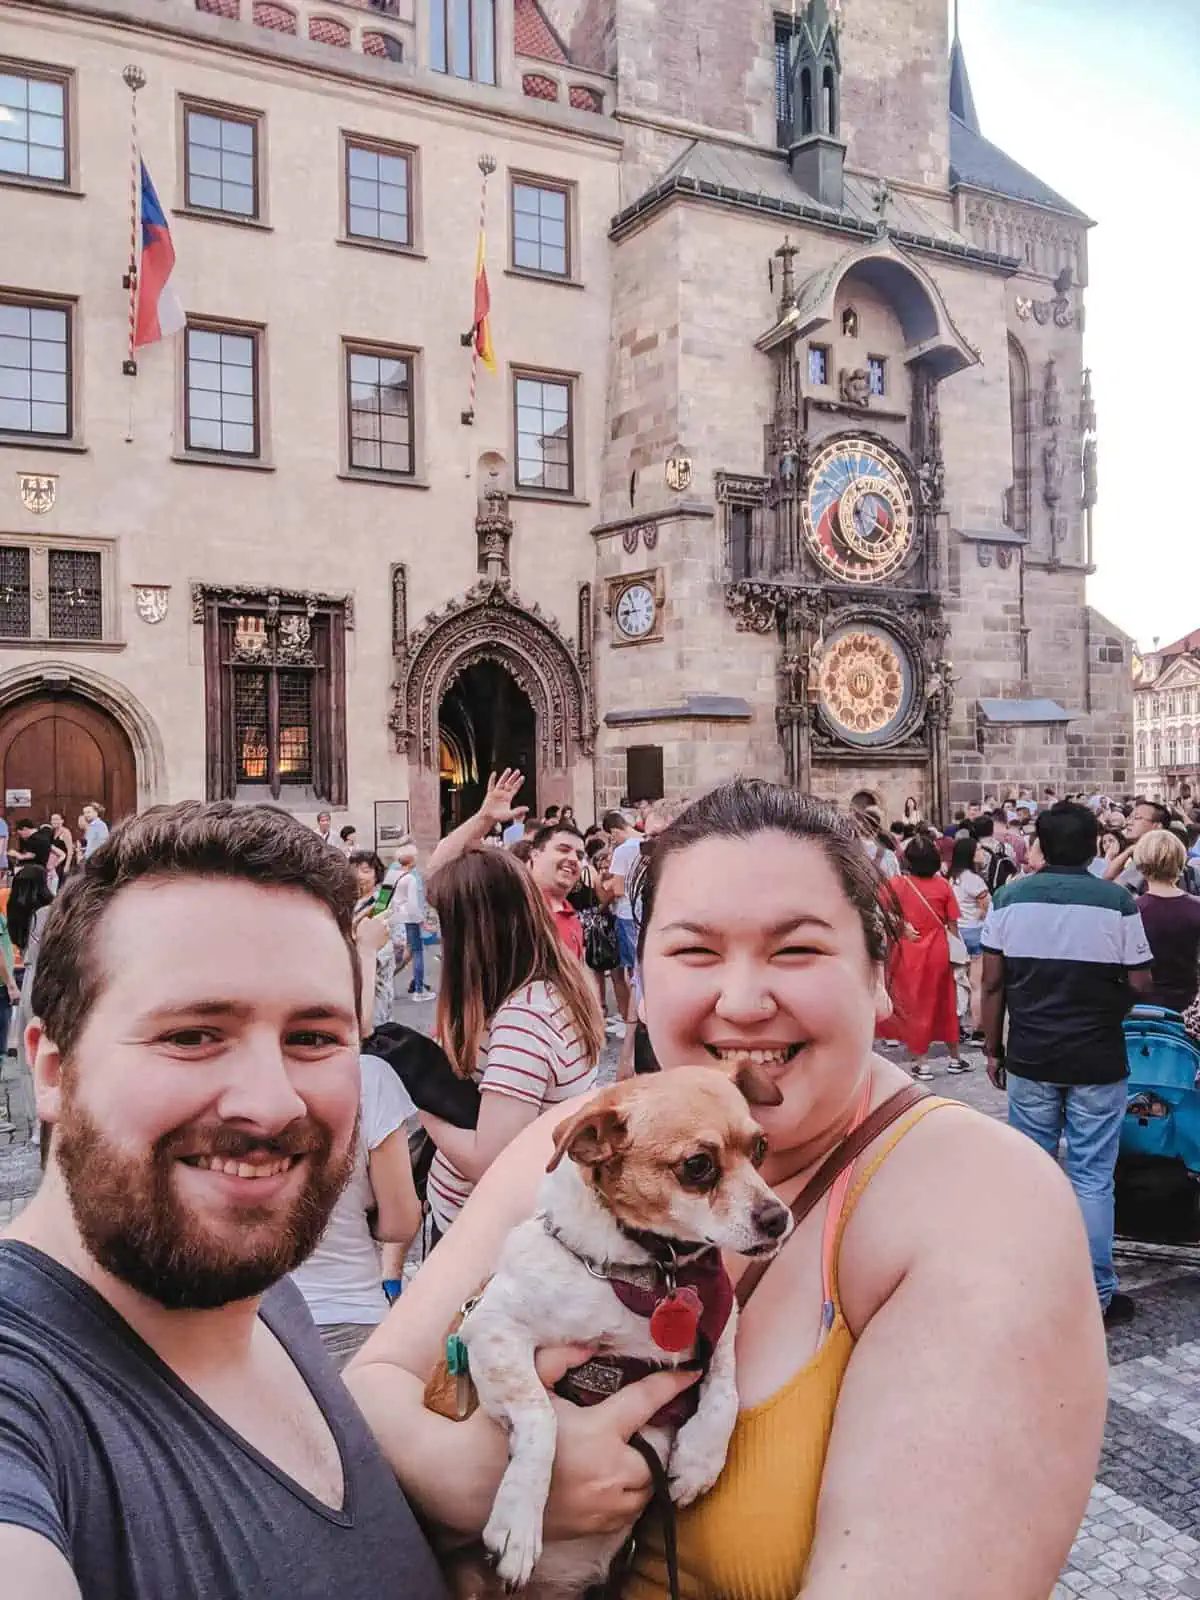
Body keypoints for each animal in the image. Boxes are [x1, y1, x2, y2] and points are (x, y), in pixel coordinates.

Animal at [428, 1062, 793, 1600]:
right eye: (698, 1165)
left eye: (761, 1147)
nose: (777, 1218)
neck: (653, 1272)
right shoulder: (493, 1329)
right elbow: (542, 1418)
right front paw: (519, 1524)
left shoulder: (721, 1332)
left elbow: (725, 1392)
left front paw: (699, 1461)